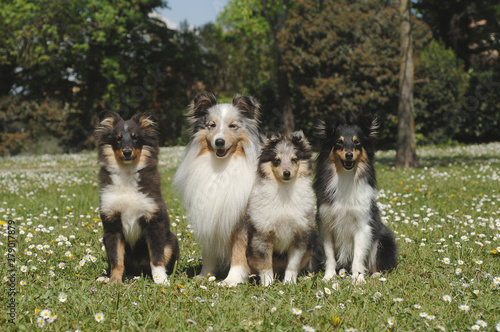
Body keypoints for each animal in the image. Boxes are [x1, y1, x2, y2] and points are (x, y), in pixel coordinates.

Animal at [94, 113, 179, 284]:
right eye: (118, 138)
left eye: (136, 138)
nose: (127, 152)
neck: (127, 173)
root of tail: (139, 270)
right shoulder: (112, 224)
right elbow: (116, 259)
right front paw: (114, 283)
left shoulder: (153, 220)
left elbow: (157, 257)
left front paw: (161, 282)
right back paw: (107, 278)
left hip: (172, 241)